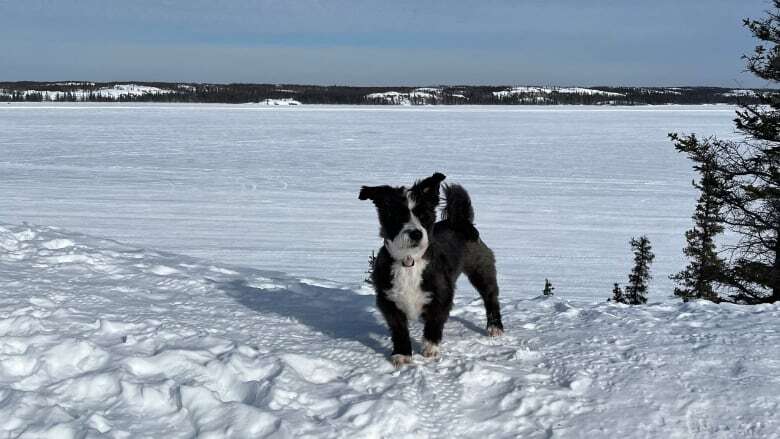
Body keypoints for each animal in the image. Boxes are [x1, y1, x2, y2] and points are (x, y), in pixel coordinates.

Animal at [358, 173, 502, 368]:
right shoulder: (388, 299)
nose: (416, 233)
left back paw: (495, 327)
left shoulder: (441, 295)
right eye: (398, 215)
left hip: (481, 268)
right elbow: (399, 329)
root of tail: (461, 220)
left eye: (424, 215)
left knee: (490, 297)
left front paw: (430, 349)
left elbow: (434, 323)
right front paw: (402, 354)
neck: (409, 261)